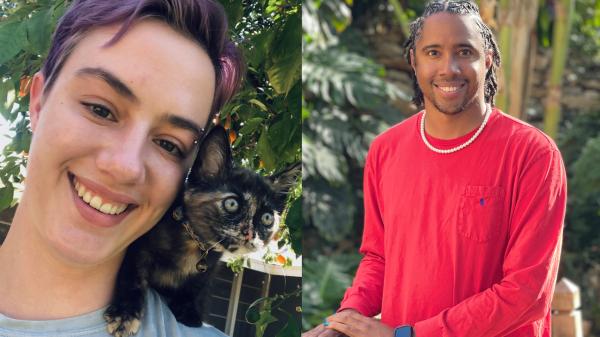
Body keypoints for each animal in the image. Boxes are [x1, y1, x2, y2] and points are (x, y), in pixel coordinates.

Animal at [104, 125, 300, 336]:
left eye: (267, 218)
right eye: (232, 204)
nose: (250, 233)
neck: (195, 242)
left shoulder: (209, 268)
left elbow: (196, 287)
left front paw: (189, 311)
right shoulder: (138, 248)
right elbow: (133, 276)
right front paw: (124, 315)